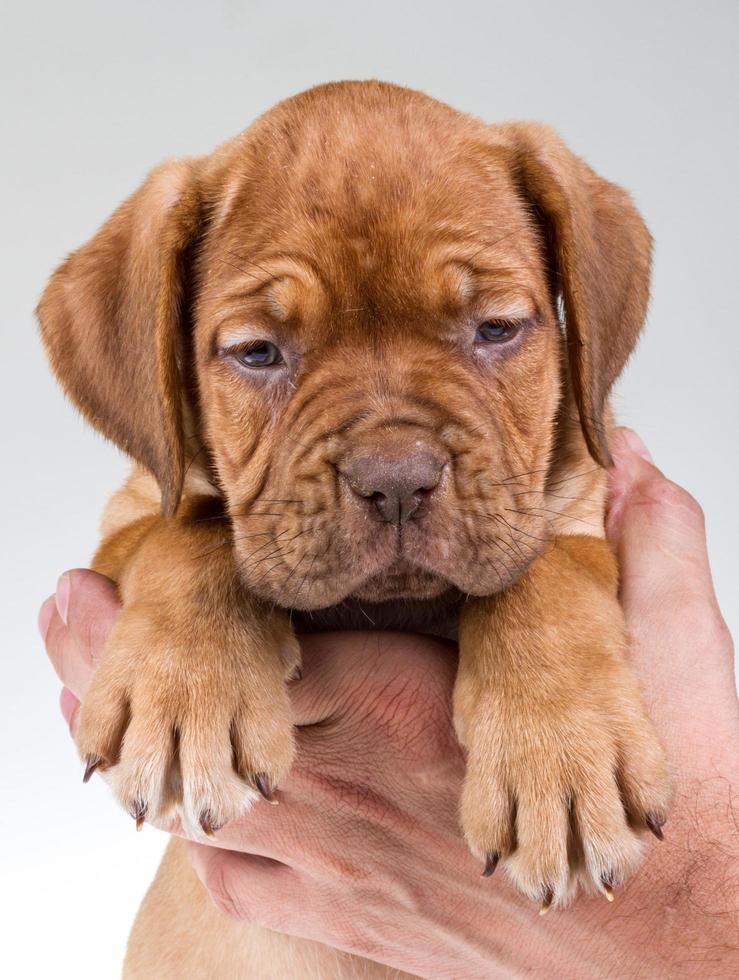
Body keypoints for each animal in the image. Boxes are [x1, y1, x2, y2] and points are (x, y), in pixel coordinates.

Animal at [37, 80, 672, 976]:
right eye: (257, 352)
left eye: (496, 329)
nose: (397, 479)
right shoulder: (127, 523)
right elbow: (192, 531)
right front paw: (186, 694)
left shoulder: (581, 510)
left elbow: (546, 576)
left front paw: (564, 760)